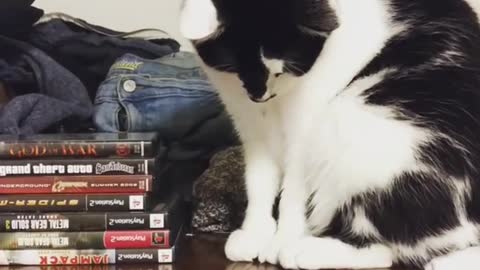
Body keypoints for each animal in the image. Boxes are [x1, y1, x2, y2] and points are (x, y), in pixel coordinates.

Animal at [182, 0, 480, 268]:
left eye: (282, 71)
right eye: (233, 70)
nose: (259, 95)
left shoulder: (305, 129)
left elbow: (293, 191)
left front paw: (283, 239)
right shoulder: (250, 126)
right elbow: (259, 180)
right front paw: (255, 232)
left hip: (352, 126)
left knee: (389, 248)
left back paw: (305, 251)